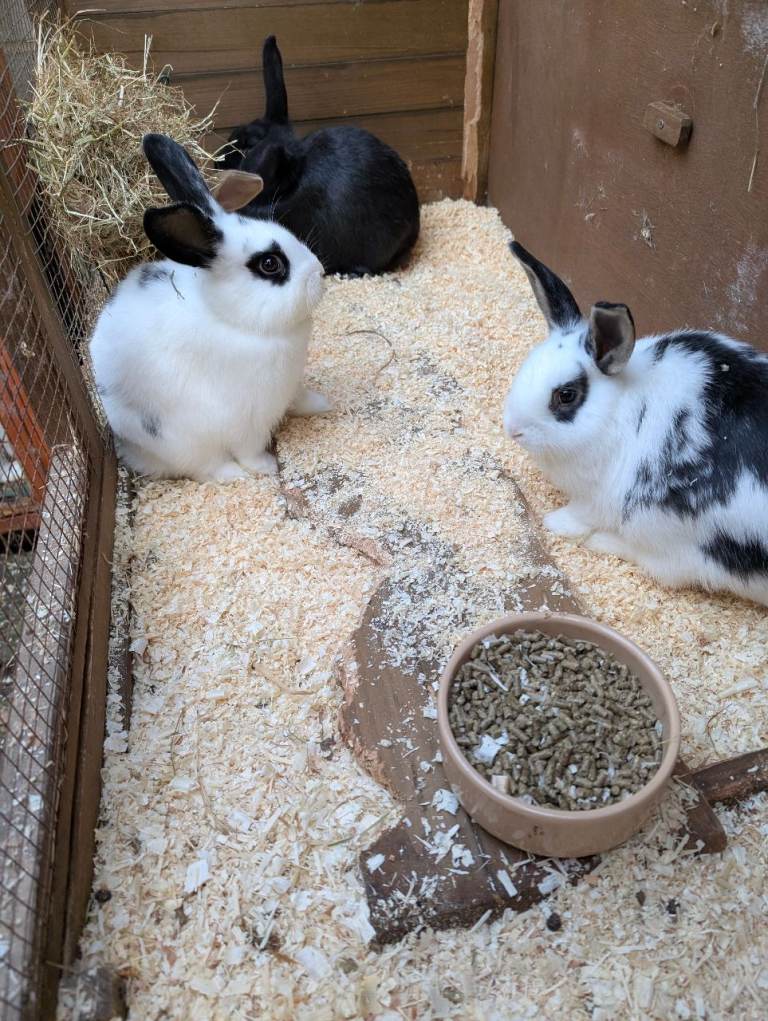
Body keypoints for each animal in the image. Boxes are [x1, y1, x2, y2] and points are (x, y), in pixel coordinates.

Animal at [89, 133, 330, 484]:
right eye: (270, 264)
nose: (320, 272)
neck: (231, 318)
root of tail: (131, 453)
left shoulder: (290, 387)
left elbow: (300, 398)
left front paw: (323, 404)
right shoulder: (249, 415)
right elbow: (250, 448)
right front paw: (266, 467)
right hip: (180, 439)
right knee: (205, 467)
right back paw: (235, 475)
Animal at [503, 241, 768, 606]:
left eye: (566, 395)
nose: (513, 429)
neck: (619, 406)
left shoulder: (596, 494)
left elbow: (578, 514)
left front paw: (554, 523)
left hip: (669, 533)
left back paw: (599, 541)